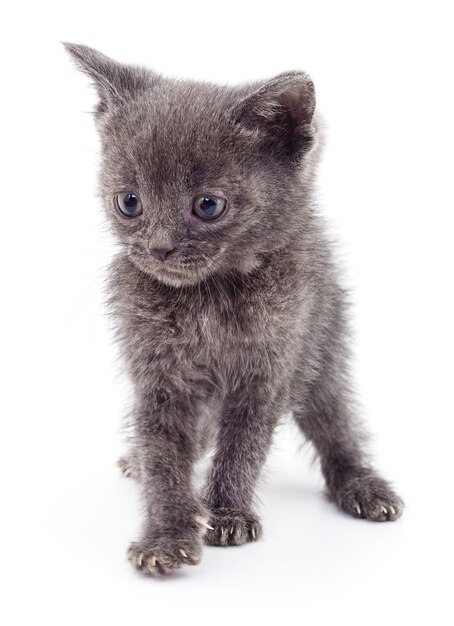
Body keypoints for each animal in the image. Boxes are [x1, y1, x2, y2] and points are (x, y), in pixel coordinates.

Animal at [64, 44, 404, 576]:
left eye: (208, 206)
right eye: (129, 202)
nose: (159, 248)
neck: (208, 295)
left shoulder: (269, 365)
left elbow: (244, 442)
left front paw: (226, 514)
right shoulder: (158, 373)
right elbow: (163, 451)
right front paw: (167, 533)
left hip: (324, 342)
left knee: (334, 419)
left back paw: (362, 485)